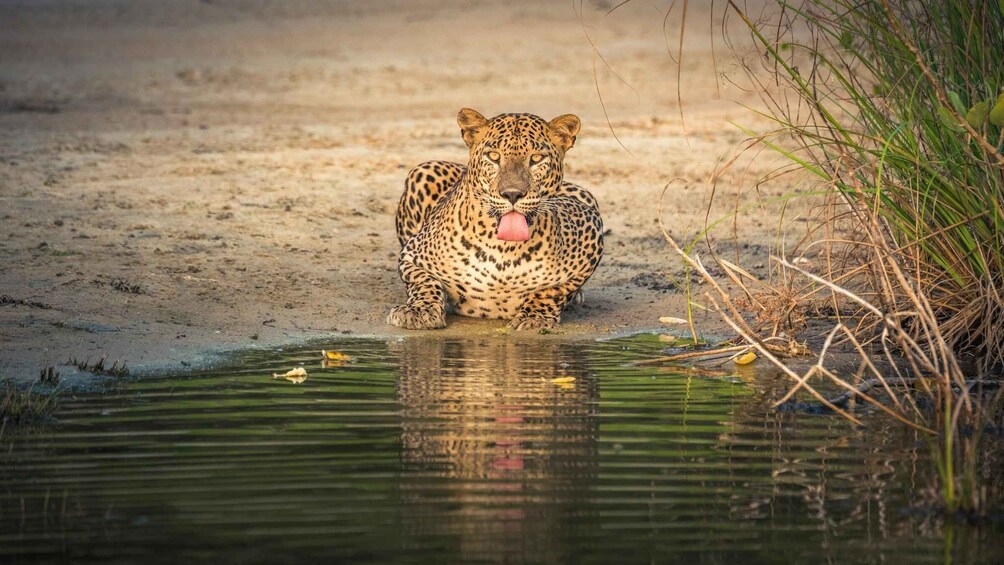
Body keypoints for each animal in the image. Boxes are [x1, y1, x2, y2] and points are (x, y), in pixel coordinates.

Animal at [387, 108, 603, 331]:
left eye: (536, 158)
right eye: (493, 156)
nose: (512, 194)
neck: (503, 250)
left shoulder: (590, 229)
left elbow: (553, 290)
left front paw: (534, 317)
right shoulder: (412, 254)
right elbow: (424, 281)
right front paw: (418, 311)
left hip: (585, 194)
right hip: (423, 170)